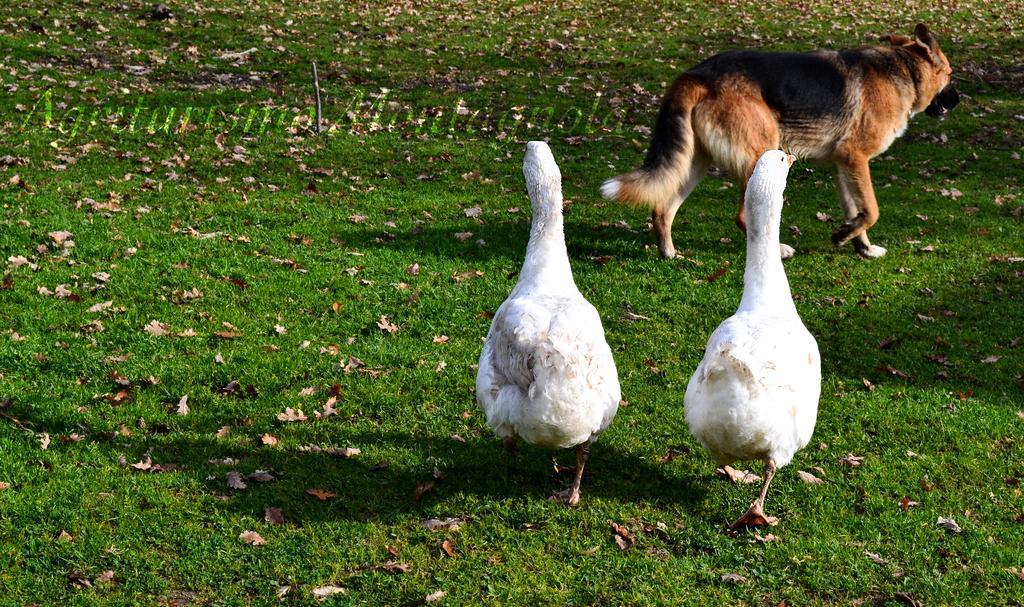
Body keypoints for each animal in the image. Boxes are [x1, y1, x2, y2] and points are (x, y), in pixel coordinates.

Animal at [602, 24, 954, 257]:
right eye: (950, 75)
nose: (959, 99)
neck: (903, 70)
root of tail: (697, 74)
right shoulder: (856, 158)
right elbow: (872, 210)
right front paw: (851, 237)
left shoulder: (843, 166)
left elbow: (856, 210)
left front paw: (857, 244)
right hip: (761, 153)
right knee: (743, 217)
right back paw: (779, 250)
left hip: (693, 164)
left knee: (662, 209)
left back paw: (669, 254)